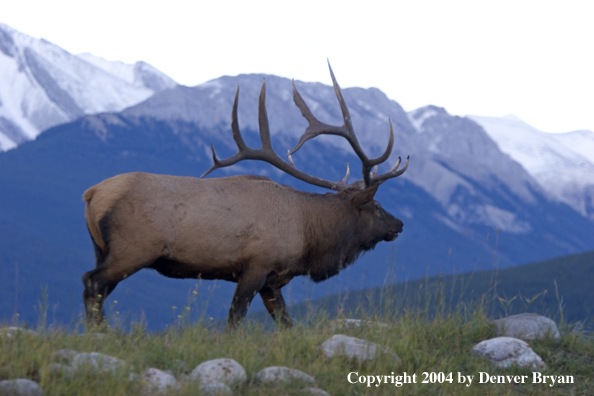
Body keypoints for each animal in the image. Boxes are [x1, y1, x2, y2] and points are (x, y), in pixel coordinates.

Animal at [82, 64, 408, 332]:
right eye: (377, 206)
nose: (400, 224)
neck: (309, 234)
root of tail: (92, 193)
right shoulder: (256, 264)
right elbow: (235, 318)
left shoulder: (272, 279)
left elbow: (286, 323)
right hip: (133, 248)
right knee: (92, 283)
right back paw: (102, 334)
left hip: (101, 248)